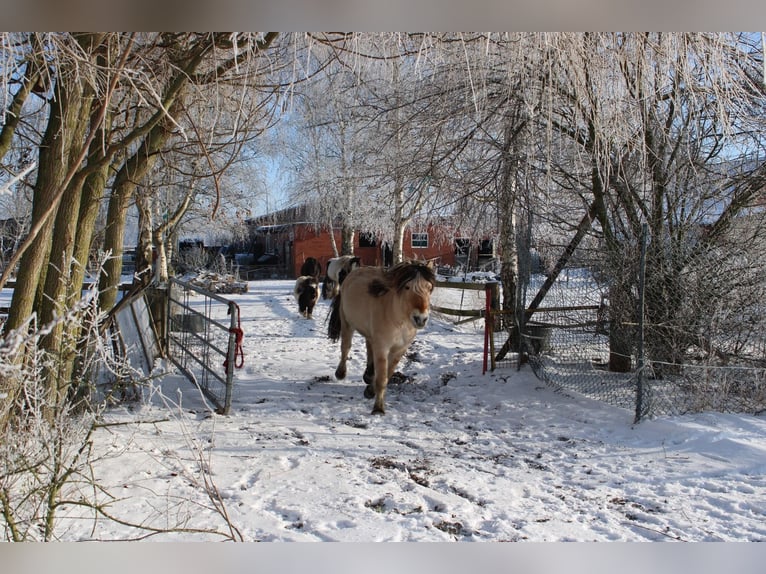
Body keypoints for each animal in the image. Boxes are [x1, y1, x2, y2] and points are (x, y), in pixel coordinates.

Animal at [327, 261, 436, 414]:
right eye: (407, 287)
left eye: (429, 288)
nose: (420, 318)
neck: (398, 320)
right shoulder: (382, 347)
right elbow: (382, 379)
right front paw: (378, 408)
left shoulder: (400, 350)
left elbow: (388, 374)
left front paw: (370, 391)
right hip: (347, 323)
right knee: (346, 347)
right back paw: (341, 373)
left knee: (368, 346)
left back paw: (368, 375)